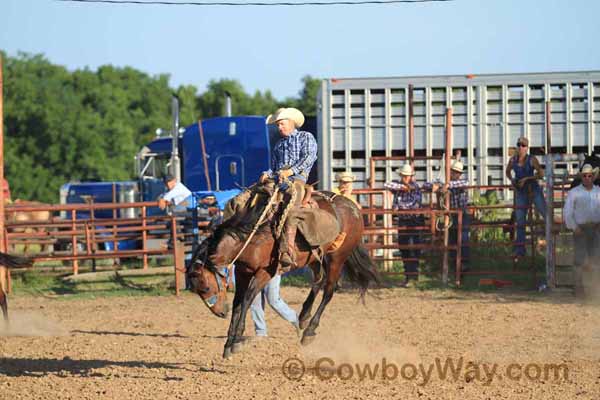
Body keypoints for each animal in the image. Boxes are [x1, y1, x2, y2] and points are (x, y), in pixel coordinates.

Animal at [188, 185, 380, 360]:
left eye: (205, 288)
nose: (220, 313)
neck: (250, 238)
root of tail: (354, 207)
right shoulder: (242, 272)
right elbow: (237, 302)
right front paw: (228, 343)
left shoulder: (265, 272)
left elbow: (248, 298)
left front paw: (236, 340)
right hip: (315, 258)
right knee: (319, 282)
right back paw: (302, 317)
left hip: (337, 258)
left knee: (329, 290)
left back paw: (309, 330)